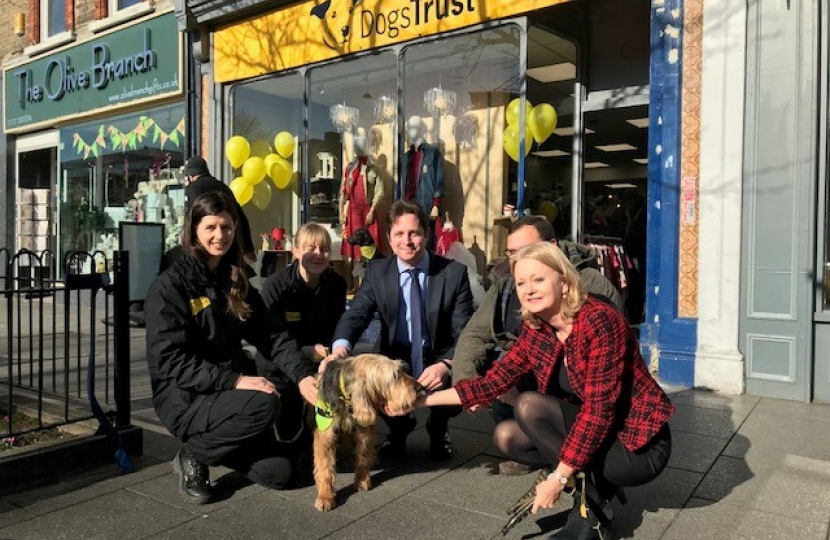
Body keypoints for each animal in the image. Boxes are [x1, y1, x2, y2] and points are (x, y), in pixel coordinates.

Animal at [312, 354, 420, 510]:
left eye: (402, 371)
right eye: (394, 376)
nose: (420, 387)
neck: (346, 398)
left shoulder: (364, 430)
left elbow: (363, 457)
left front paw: (362, 480)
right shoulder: (325, 434)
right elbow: (324, 467)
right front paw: (325, 496)